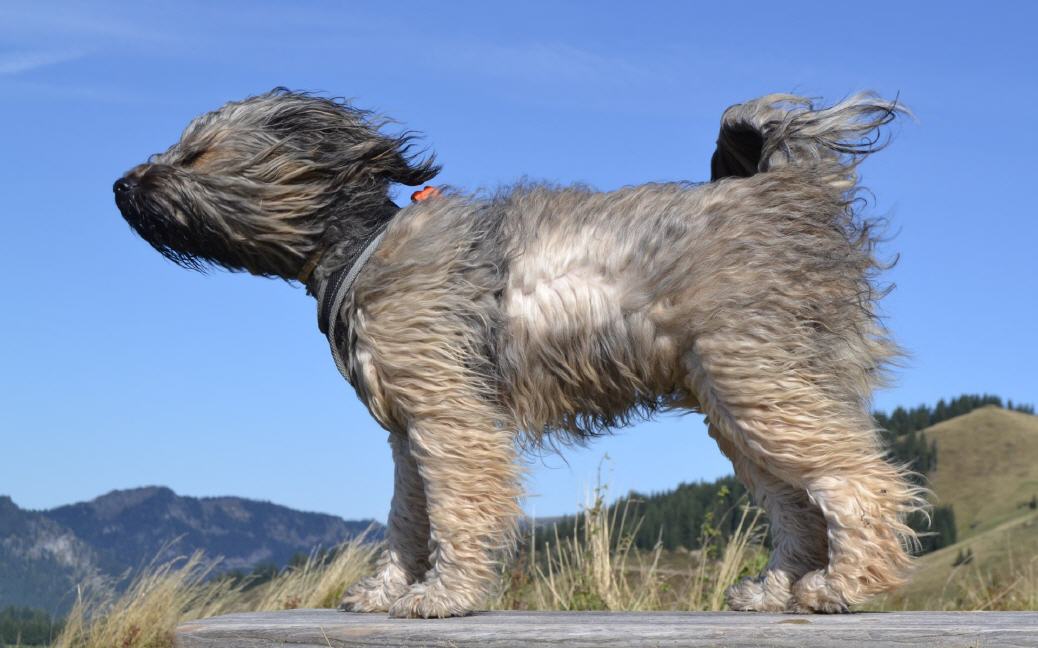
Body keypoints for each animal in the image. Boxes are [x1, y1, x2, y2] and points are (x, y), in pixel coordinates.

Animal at [113, 89, 925, 618]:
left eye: (195, 153)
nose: (121, 183)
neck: (361, 247)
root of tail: (788, 196)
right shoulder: (409, 428)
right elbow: (408, 519)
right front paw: (388, 589)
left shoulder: (450, 417)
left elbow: (455, 511)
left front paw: (443, 596)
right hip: (740, 396)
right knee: (796, 503)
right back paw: (778, 590)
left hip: (756, 377)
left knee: (856, 482)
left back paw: (849, 586)